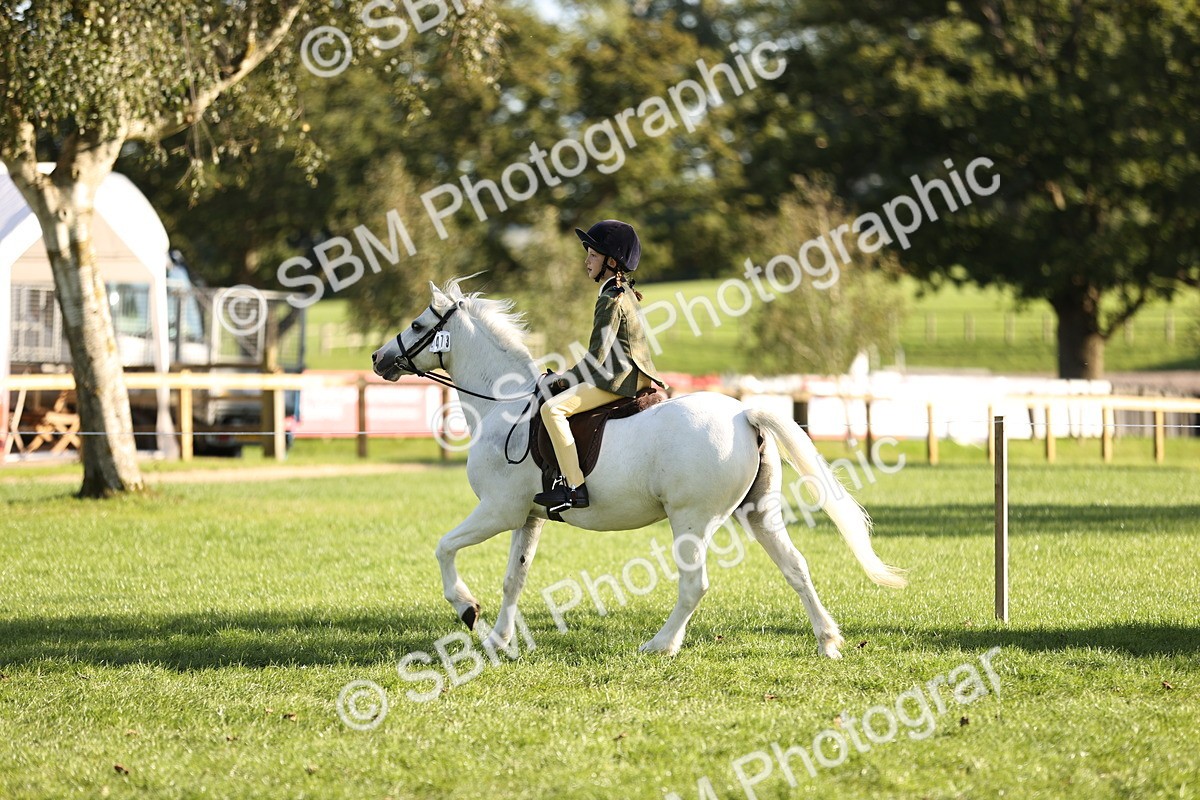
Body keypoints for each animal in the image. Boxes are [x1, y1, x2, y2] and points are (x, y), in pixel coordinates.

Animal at [371, 277, 905, 658]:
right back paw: (828, 642)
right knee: (796, 567)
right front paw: (500, 641)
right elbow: (513, 579)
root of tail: (743, 413)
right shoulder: (527, 517)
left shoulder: (498, 511)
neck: (506, 407)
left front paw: (467, 609)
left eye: (417, 326)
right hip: (758, 513)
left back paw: (661, 645)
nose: (378, 358)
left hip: (691, 519)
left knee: (694, 585)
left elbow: (444, 548)